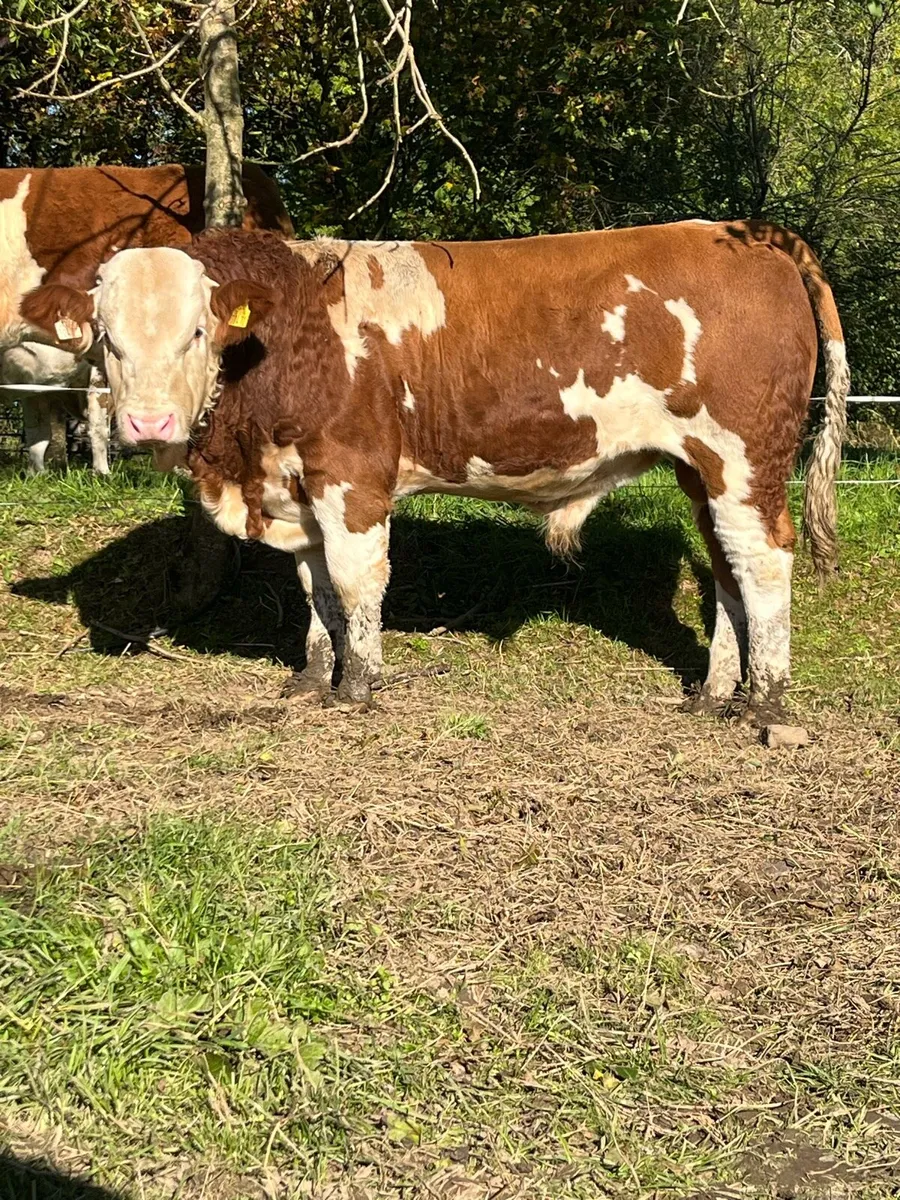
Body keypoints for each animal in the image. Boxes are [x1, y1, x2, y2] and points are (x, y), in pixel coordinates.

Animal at [20, 221, 849, 724]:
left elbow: (355, 582)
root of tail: (750, 233)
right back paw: (715, 694)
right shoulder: (298, 486)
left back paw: (767, 704)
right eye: (108, 338)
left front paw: (358, 686)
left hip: (744, 459)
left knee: (764, 563)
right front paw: (313, 678)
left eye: (197, 332)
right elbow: (316, 587)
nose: (147, 424)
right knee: (726, 568)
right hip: (701, 473)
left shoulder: (350, 473)